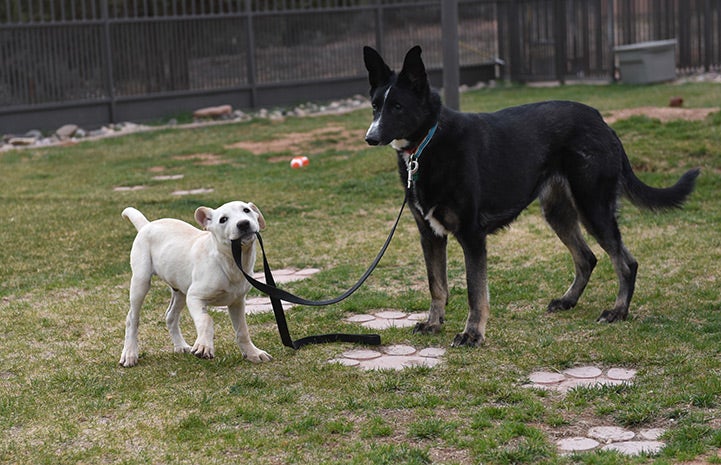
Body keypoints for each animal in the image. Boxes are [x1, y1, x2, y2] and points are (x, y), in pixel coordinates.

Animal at [119, 201, 272, 368]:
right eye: (223, 219)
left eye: (246, 210)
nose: (243, 223)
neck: (231, 261)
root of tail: (147, 225)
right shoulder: (195, 297)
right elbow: (206, 320)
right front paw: (204, 346)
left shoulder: (237, 302)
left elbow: (242, 330)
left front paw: (253, 353)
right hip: (141, 282)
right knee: (132, 319)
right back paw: (130, 354)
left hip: (180, 290)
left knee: (170, 316)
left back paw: (181, 346)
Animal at [362, 45, 700, 346]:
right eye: (376, 106)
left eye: (398, 107)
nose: (370, 137)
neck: (427, 144)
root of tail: (601, 121)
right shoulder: (430, 235)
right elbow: (437, 286)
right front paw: (434, 324)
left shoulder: (472, 237)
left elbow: (474, 292)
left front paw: (472, 334)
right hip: (558, 212)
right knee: (587, 258)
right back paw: (568, 301)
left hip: (593, 208)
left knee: (626, 263)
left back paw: (618, 311)